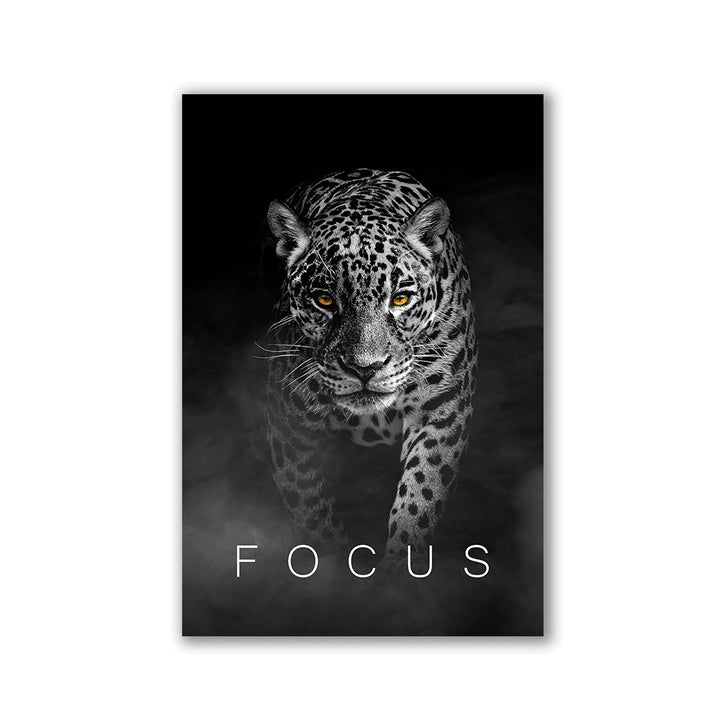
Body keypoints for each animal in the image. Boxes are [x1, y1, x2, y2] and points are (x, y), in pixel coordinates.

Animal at [262, 168, 477, 567]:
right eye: (324, 299)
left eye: (401, 298)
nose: (365, 368)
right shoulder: (292, 426)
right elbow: (310, 511)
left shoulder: (441, 410)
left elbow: (421, 498)